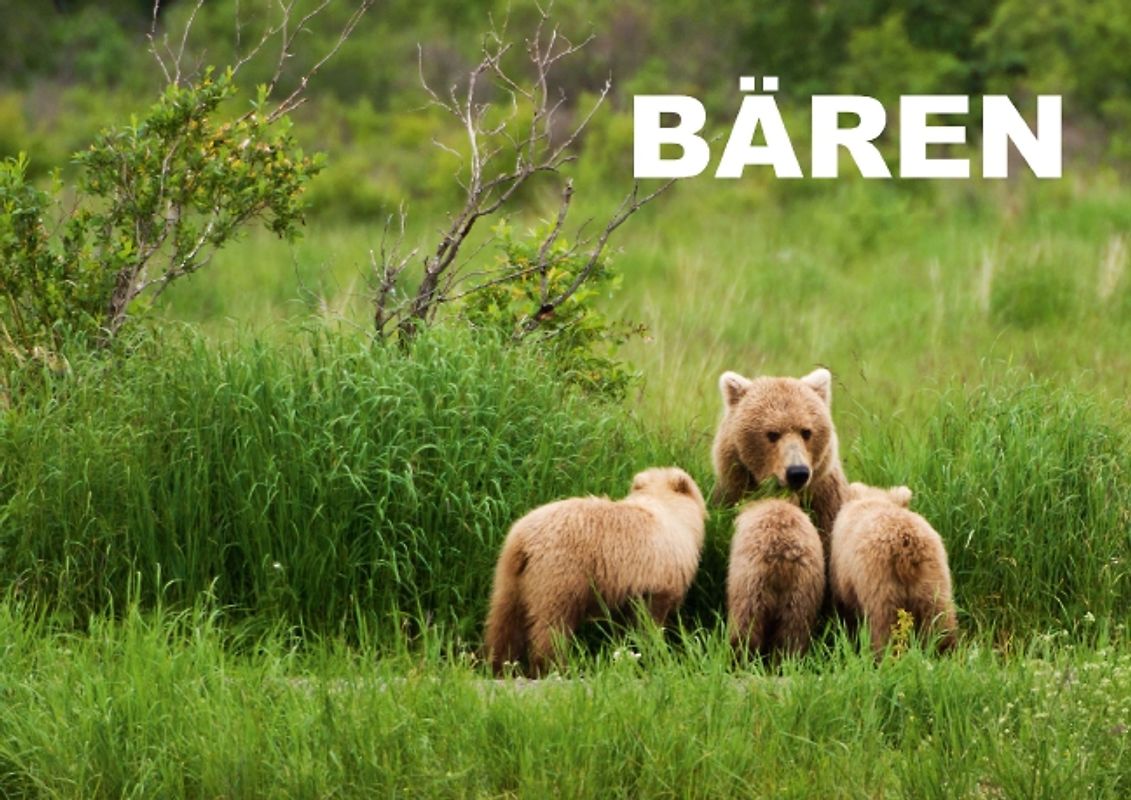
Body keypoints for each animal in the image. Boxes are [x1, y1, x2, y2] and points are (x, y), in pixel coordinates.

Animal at [484, 467, 708, 676]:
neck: (672, 511)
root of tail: (523, 541)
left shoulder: (625, 587)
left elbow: (623, 623)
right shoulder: (659, 573)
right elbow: (651, 617)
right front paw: (655, 649)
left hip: (509, 574)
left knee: (504, 619)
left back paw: (498, 664)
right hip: (561, 572)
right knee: (551, 624)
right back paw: (553, 666)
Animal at [829, 482, 958, 656]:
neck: (875, 501)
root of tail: (906, 547)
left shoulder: (844, 573)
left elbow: (845, 607)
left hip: (880, 582)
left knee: (884, 624)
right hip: (933, 577)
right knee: (939, 618)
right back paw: (944, 650)